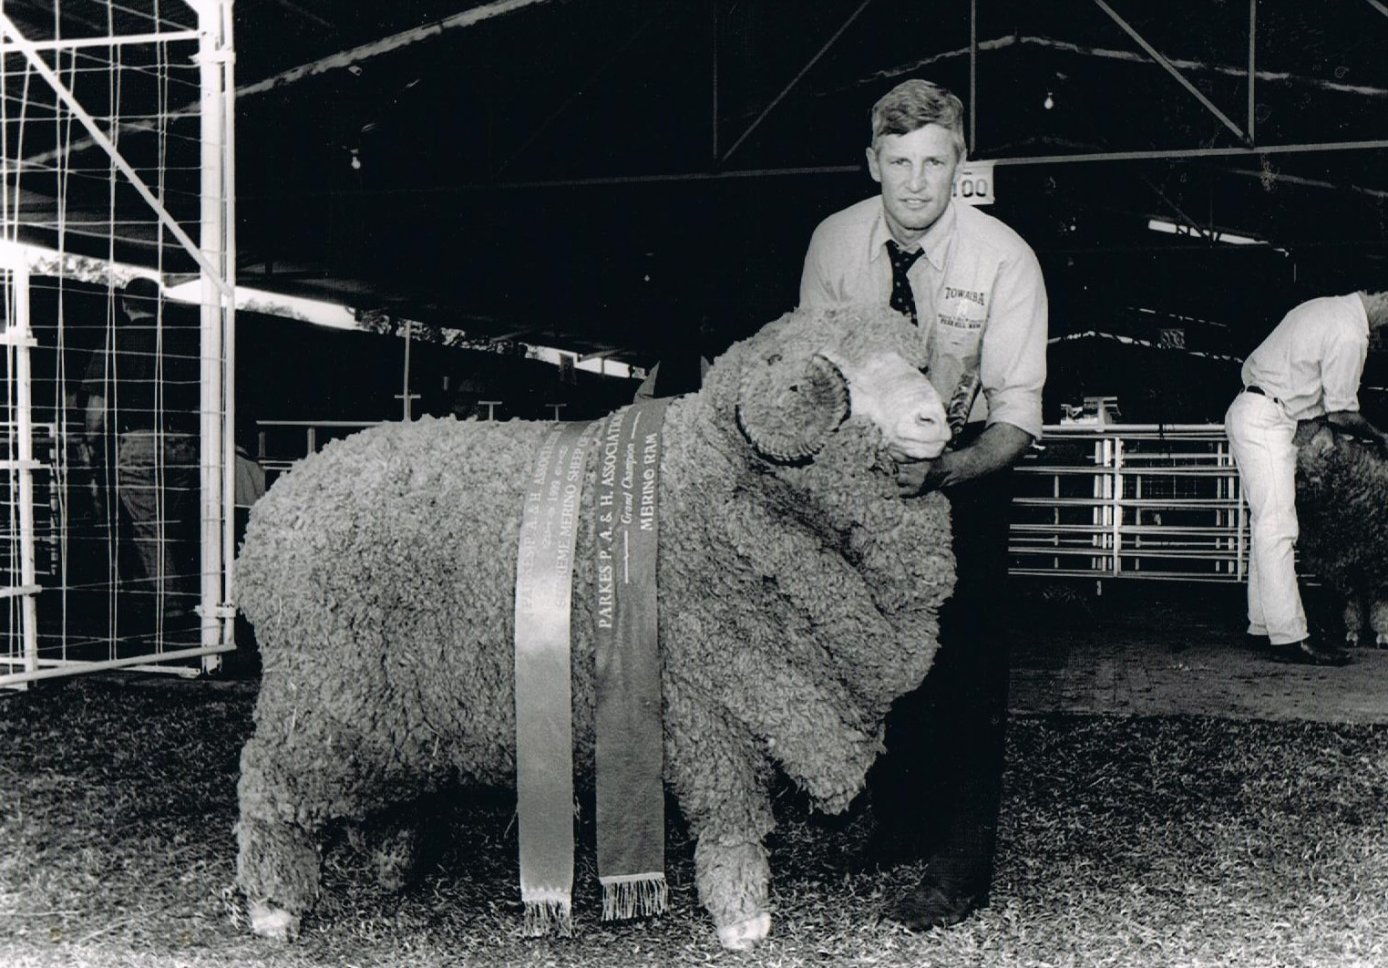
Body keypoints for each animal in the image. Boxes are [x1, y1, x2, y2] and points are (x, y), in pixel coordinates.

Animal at [235, 305, 954, 949]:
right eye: (842, 372)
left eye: (915, 362)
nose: (935, 420)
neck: (708, 482)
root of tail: (273, 509)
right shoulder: (700, 703)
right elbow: (731, 812)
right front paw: (742, 915)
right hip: (316, 694)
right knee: (268, 784)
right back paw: (272, 908)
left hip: (385, 703)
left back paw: (389, 861)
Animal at [1293, 419, 1388, 644]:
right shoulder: (1343, 567)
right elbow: (1352, 605)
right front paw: (1353, 632)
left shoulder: (1379, 565)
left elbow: (1381, 605)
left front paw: (1383, 632)